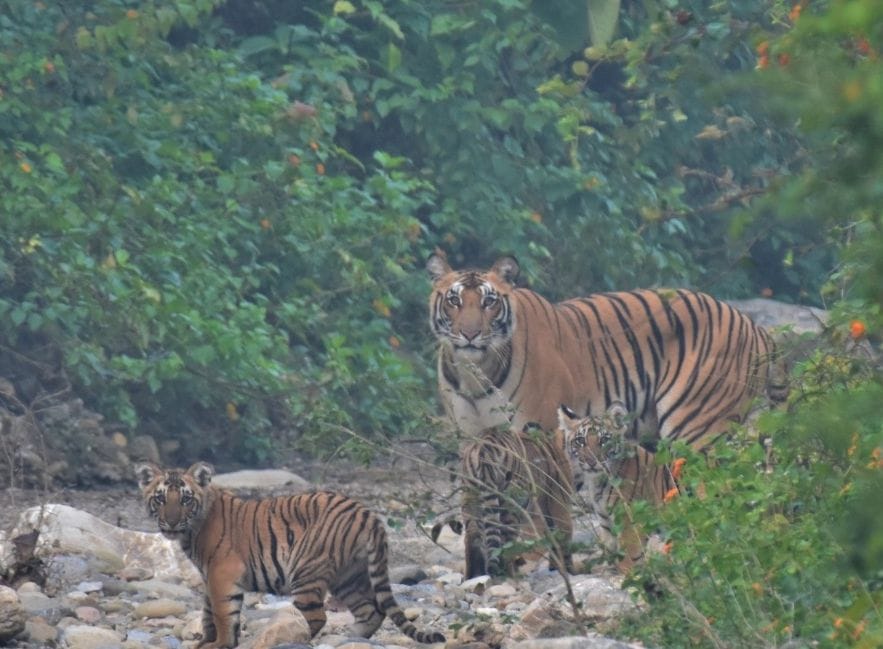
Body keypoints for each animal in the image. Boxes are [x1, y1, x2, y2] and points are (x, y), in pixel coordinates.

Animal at [134, 462, 446, 648]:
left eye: (186, 499)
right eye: (160, 498)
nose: (171, 522)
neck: (191, 530)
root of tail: (365, 512)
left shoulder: (221, 572)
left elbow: (223, 614)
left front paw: (221, 643)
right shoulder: (209, 575)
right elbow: (209, 612)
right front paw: (207, 642)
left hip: (306, 571)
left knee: (317, 617)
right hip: (350, 576)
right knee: (371, 610)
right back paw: (347, 640)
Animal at [426, 251, 788, 452]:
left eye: (489, 301)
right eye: (454, 300)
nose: (469, 334)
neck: (475, 373)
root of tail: (753, 325)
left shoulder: (540, 433)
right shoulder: (471, 438)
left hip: (699, 425)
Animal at [457, 422, 575, 579]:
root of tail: (485, 447)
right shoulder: (559, 504)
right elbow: (563, 536)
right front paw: (567, 572)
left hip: (470, 501)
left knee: (472, 538)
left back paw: (473, 577)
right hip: (511, 507)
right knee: (506, 545)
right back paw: (510, 575)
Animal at [557, 402, 678, 569]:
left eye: (604, 440)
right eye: (580, 441)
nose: (591, 461)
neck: (597, 482)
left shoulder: (630, 522)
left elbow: (629, 557)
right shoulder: (606, 523)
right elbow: (605, 555)